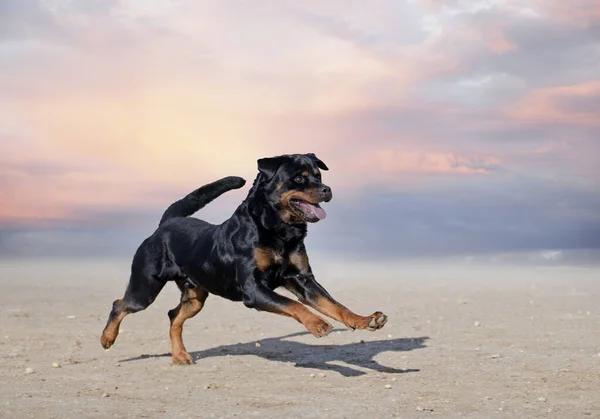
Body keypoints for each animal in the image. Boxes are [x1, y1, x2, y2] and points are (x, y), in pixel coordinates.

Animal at [99, 153, 390, 364]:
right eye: (299, 178)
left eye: (318, 175)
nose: (327, 189)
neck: (278, 231)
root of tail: (167, 223)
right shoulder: (253, 288)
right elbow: (294, 305)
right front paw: (317, 323)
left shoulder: (303, 280)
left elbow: (334, 305)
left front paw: (364, 320)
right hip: (145, 287)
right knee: (120, 304)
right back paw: (107, 339)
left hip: (195, 296)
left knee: (174, 316)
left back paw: (180, 355)